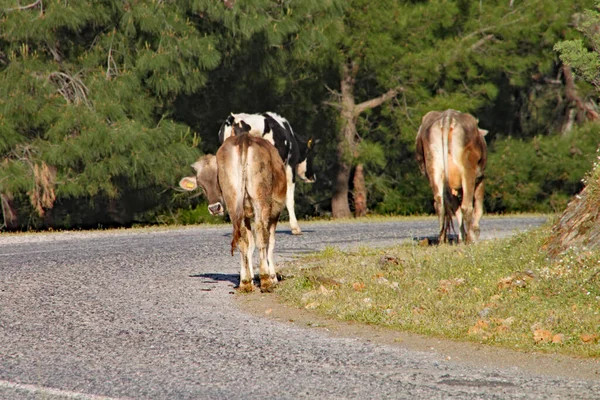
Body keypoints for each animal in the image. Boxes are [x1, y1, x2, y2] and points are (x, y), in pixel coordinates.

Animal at [418, 108, 488, 244]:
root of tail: (447, 117)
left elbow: (456, 209)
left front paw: (461, 237)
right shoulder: (480, 178)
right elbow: (478, 206)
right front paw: (474, 232)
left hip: (434, 168)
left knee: (440, 203)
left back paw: (442, 240)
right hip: (468, 171)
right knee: (466, 206)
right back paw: (470, 239)